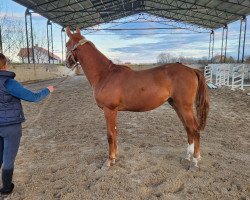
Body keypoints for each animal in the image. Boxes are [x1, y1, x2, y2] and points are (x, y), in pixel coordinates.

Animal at [65, 27, 209, 170]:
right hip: (176, 105)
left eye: (66, 44)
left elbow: (110, 135)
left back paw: (195, 161)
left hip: (185, 107)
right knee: (188, 129)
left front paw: (109, 161)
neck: (105, 74)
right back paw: (187, 156)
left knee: (195, 130)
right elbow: (115, 132)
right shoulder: (114, 111)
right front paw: (115, 156)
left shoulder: (109, 110)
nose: (67, 63)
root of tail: (192, 70)